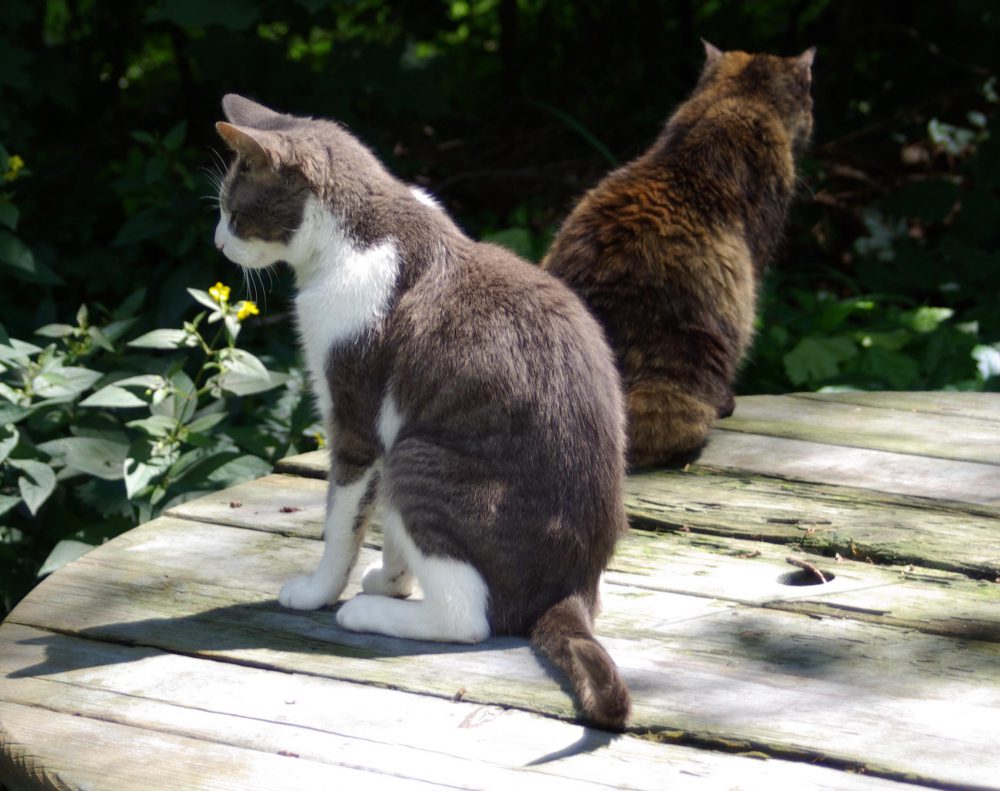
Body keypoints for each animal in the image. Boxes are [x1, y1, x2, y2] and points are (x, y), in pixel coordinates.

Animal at [214, 94, 628, 732]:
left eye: (234, 212)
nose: (217, 242)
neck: (361, 232)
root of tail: (575, 589)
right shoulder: (385, 428)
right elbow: (385, 528)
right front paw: (391, 579)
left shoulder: (357, 420)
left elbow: (341, 522)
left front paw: (319, 591)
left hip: (420, 459)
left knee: (468, 619)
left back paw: (367, 616)